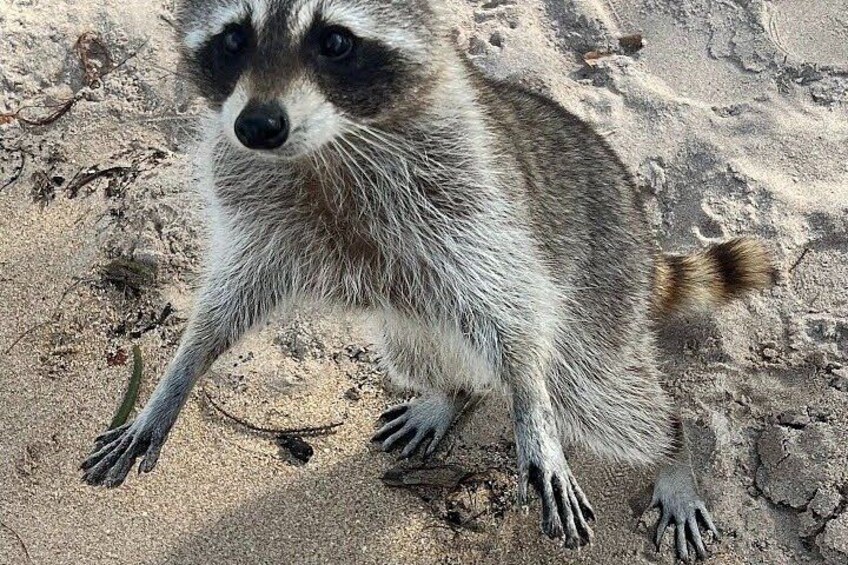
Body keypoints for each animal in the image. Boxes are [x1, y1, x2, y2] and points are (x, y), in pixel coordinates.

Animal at [81, 0, 774, 560]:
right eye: (233, 39)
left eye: (334, 41)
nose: (257, 125)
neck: (328, 144)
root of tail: (642, 234)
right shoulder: (252, 203)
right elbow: (230, 298)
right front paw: (174, 380)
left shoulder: (474, 192)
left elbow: (518, 303)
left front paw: (535, 416)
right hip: (414, 314)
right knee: (420, 346)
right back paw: (450, 391)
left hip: (604, 289)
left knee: (601, 396)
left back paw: (671, 452)